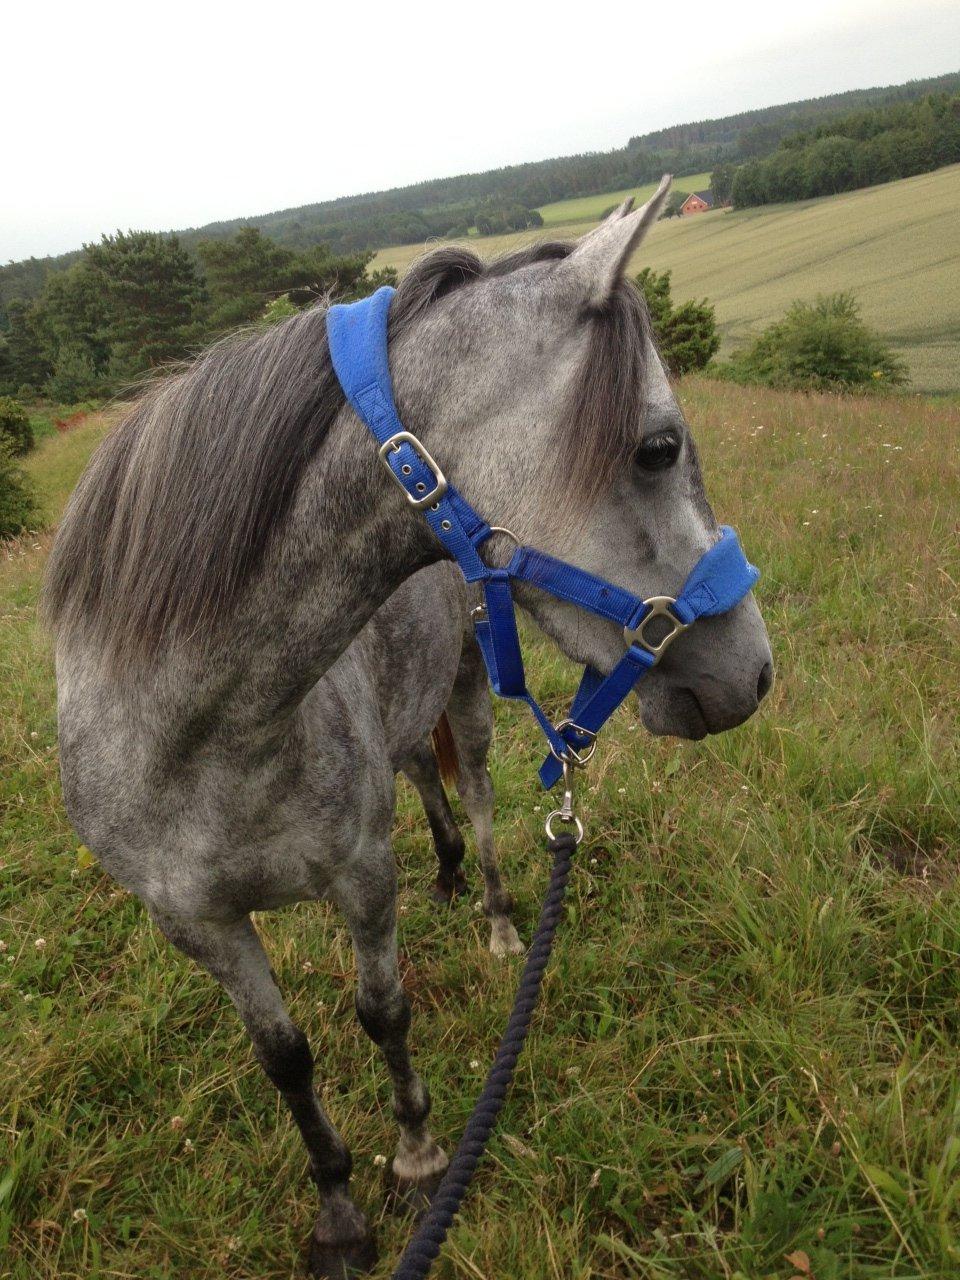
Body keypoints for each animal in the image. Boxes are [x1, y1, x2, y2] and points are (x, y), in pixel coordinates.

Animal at [42, 179, 773, 1276]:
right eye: (657, 446)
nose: (753, 671)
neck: (202, 736)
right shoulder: (198, 924)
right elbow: (285, 1056)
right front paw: (339, 1211)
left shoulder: (360, 877)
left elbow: (383, 1010)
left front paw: (420, 1154)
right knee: (424, 783)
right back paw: (449, 873)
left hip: (470, 699)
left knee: (478, 801)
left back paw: (499, 915)